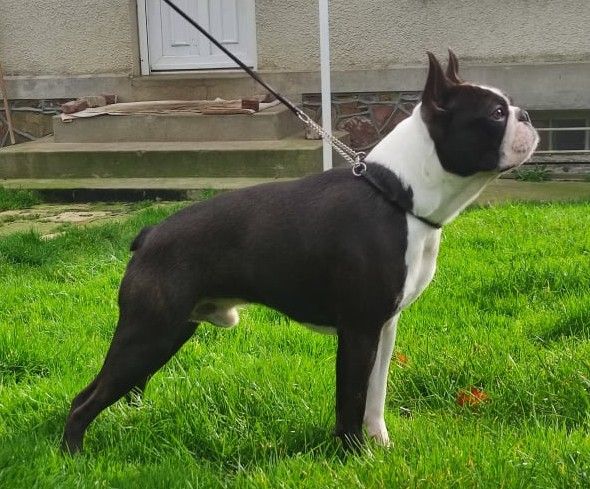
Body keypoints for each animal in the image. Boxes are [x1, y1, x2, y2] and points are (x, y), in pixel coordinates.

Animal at [62, 51, 539, 453]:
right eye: (496, 114)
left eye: (510, 107)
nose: (527, 114)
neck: (397, 195)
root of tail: (149, 234)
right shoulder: (359, 329)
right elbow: (350, 398)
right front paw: (354, 455)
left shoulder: (384, 328)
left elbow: (375, 395)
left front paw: (380, 445)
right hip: (150, 333)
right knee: (86, 399)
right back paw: (73, 455)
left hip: (169, 330)